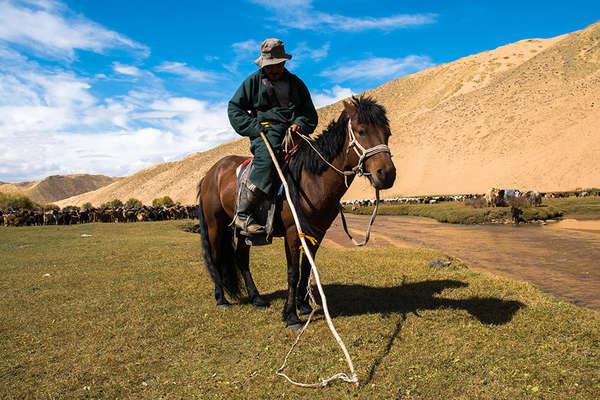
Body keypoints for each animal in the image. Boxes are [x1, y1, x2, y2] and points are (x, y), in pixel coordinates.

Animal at [195, 96, 396, 328]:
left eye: (387, 133)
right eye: (361, 131)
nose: (386, 174)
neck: (311, 179)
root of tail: (210, 173)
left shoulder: (317, 232)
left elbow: (307, 268)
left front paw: (305, 306)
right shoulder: (292, 232)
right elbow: (293, 272)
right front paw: (291, 315)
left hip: (244, 231)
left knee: (241, 259)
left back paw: (256, 299)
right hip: (215, 225)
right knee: (215, 257)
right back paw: (221, 298)